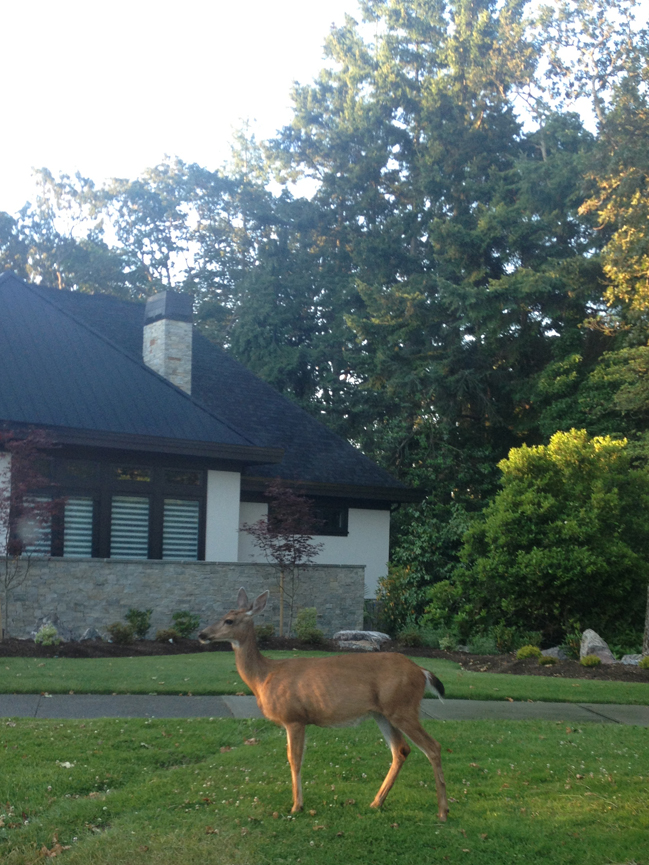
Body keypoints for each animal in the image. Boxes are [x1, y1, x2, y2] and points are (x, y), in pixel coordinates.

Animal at [197, 584, 448, 820]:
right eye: (222, 614)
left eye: (229, 620)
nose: (202, 634)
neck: (264, 677)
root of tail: (422, 671)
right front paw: (298, 803)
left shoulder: (294, 717)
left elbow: (294, 759)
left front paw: (297, 806)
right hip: (383, 713)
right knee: (401, 750)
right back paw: (376, 802)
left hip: (402, 708)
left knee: (433, 747)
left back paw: (443, 812)